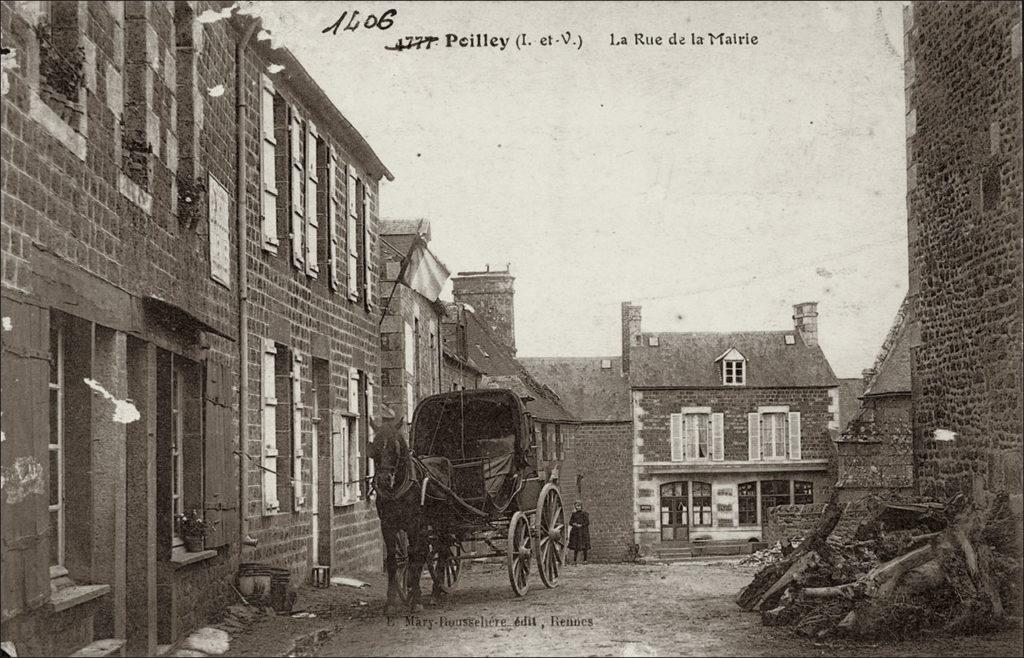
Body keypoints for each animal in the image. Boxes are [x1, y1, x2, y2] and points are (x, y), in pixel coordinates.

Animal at [368, 417, 448, 618]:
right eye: (375, 447)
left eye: (396, 448)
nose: (383, 480)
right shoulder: (387, 525)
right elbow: (392, 560)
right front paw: (391, 602)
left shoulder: (413, 524)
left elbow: (413, 556)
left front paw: (416, 601)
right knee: (426, 551)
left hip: (440, 522)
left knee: (442, 551)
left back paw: (436, 592)